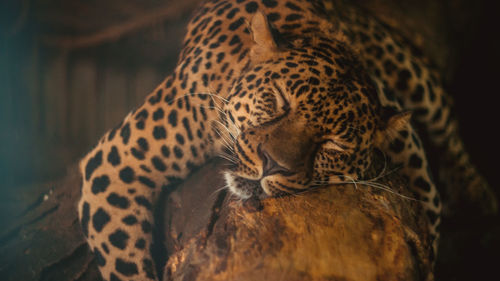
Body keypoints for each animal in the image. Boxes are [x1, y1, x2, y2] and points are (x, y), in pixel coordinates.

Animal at [76, 0, 498, 280]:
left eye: (332, 145)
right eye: (278, 100)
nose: (272, 164)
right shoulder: (116, 166)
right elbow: (124, 266)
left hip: (411, 75)